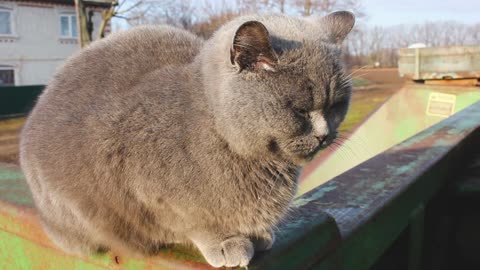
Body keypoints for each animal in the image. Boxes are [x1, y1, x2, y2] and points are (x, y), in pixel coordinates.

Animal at [19, 11, 352, 268]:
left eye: (336, 105)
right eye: (300, 110)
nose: (324, 135)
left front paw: (259, 235)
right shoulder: (147, 191)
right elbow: (195, 224)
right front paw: (228, 242)